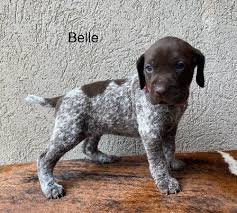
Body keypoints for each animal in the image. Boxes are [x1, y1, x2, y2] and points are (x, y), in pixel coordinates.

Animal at [25, 36, 204, 198]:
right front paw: (165, 181)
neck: (171, 107)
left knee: (88, 148)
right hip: (69, 132)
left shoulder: (170, 128)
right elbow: (158, 161)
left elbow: (169, 149)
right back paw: (49, 186)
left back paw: (104, 158)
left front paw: (171, 163)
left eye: (180, 65)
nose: (159, 91)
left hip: (94, 126)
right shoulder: (150, 132)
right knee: (43, 158)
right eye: (148, 68)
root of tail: (61, 97)